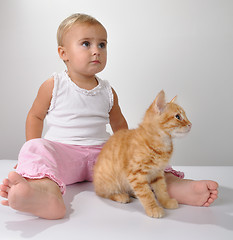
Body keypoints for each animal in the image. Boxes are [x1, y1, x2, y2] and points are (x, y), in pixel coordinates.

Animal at [93, 90, 191, 218]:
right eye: (178, 117)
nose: (190, 124)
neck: (161, 144)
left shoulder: (157, 173)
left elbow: (161, 190)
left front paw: (166, 201)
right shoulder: (136, 174)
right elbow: (146, 194)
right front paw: (153, 208)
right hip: (110, 182)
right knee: (103, 193)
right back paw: (121, 196)